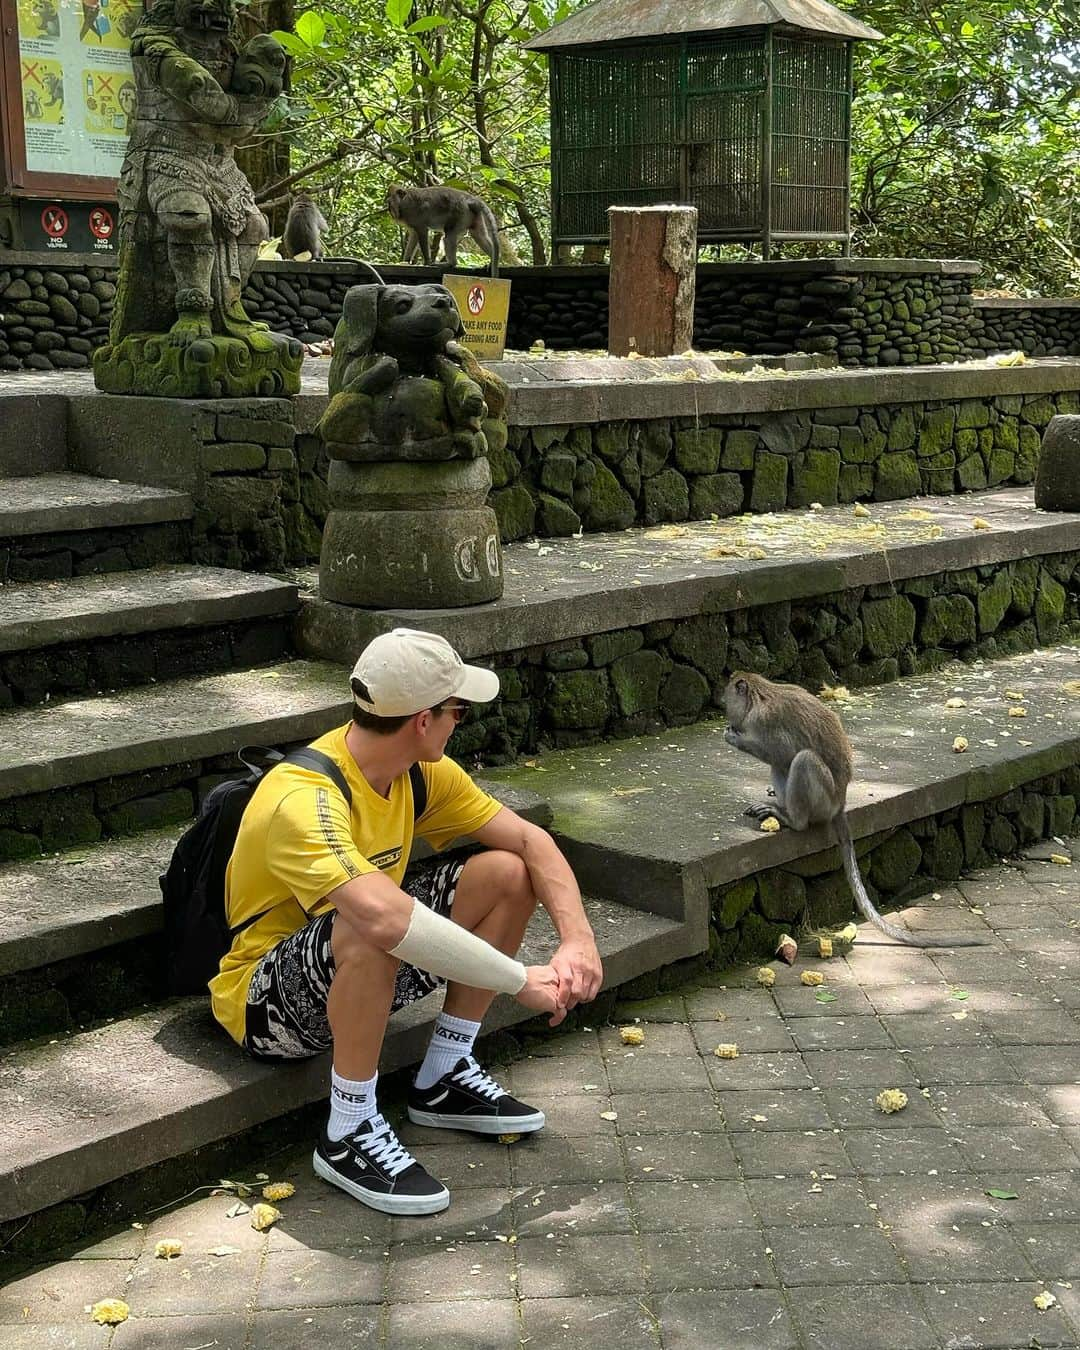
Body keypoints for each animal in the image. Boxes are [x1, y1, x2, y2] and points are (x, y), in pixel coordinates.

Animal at [723, 672, 988, 950]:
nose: (724, 707)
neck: (758, 695)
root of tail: (841, 802)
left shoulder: (762, 720)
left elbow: (782, 752)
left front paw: (737, 739)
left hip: (823, 800)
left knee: (802, 759)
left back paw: (793, 819)